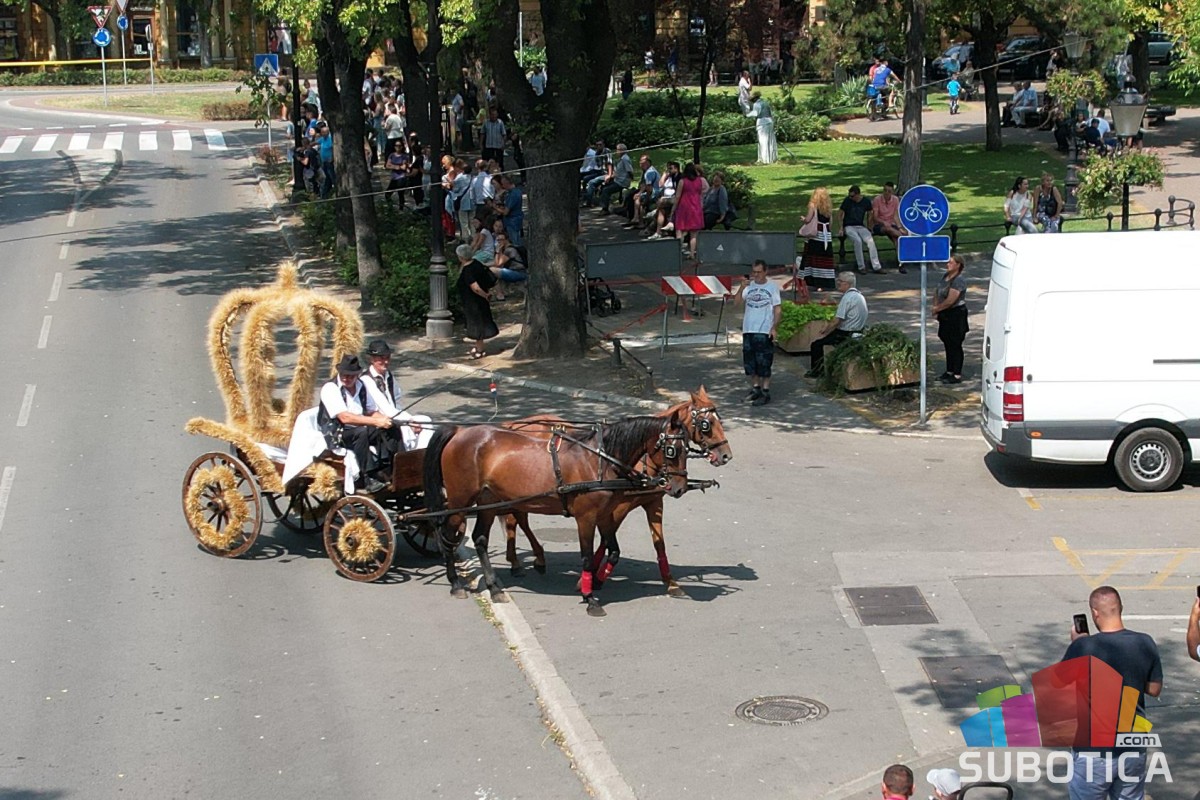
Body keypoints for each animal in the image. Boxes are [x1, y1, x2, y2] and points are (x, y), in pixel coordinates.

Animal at [421, 412, 691, 616]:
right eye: (671, 450)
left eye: (687, 449)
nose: (679, 487)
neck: (598, 460)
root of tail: (459, 431)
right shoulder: (586, 518)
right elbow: (586, 556)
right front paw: (589, 596)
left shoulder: (605, 515)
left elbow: (613, 551)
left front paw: (597, 581)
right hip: (460, 501)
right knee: (447, 535)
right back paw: (455, 583)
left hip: (487, 501)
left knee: (479, 539)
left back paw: (494, 587)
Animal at [501, 387, 733, 598]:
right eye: (706, 424)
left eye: (719, 419)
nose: (726, 455)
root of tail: (514, 424)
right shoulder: (618, 506)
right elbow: (606, 540)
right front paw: (591, 578)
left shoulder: (653, 503)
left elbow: (659, 544)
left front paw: (671, 583)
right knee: (516, 518)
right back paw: (522, 561)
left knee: (517, 517)